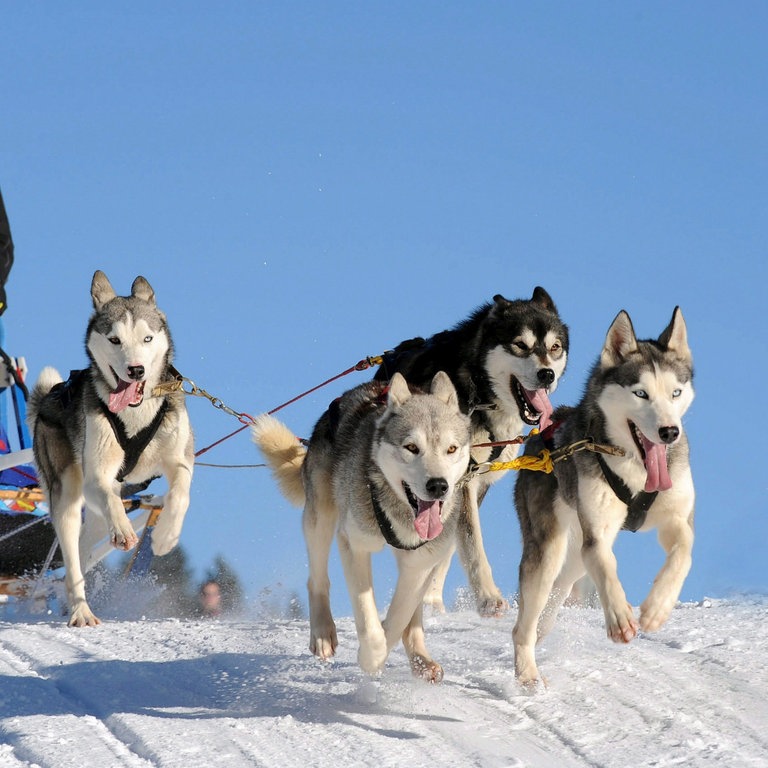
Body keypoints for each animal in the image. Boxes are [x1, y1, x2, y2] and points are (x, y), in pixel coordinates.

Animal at [27, 270, 195, 624]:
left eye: (147, 339)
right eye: (114, 340)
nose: (136, 369)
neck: (136, 414)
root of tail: (47, 400)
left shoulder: (180, 459)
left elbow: (180, 494)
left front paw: (165, 537)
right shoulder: (96, 477)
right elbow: (107, 495)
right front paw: (122, 530)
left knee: (85, 548)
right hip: (67, 493)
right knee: (72, 555)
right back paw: (80, 610)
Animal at [254, 374, 468, 684]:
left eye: (451, 449)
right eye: (411, 447)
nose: (438, 485)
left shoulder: (419, 562)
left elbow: (401, 615)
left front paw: (387, 641)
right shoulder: (354, 543)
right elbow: (368, 619)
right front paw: (372, 658)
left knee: (412, 618)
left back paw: (421, 659)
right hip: (320, 517)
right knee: (317, 578)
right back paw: (323, 633)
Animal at [376, 284, 568, 616]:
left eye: (555, 347)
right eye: (521, 345)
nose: (547, 375)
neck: (478, 392)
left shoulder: (470, 481)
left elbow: (452, 542)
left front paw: (431, 599)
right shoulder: (460, 480)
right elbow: (471, 540)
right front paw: (488, 597)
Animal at [510, 306, 696, 684]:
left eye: (675, 392)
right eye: (640, 394)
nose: (669, 432)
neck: (638, 473)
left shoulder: (675, 518)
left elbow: (684, 548)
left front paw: (656, 608)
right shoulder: (596, 535)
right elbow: (606, 565)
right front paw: (621, 618)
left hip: (571, 558)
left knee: (556, 595)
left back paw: (544, 628)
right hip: (549, 549)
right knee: (522, 626)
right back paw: (528, 676)